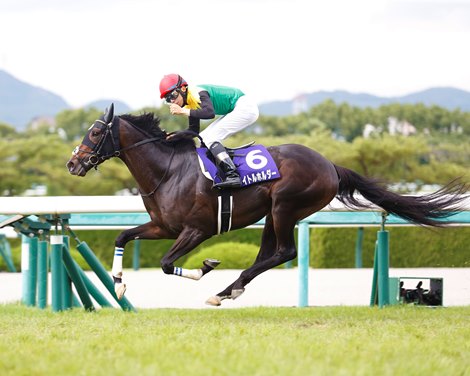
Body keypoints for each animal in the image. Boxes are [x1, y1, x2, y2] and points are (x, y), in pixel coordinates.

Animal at [65, 103, 466, 306]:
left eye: (96, 132)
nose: (72, 164)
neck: (168, 171)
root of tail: (330, 165)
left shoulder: (196, 230)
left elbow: (165, 264)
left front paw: (205, 267)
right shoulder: (164, 227)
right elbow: (121, 236)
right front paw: (118, 285)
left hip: (285, 206)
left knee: (284, 252)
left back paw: (226, 288)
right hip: (273, 213)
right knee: (268, 254)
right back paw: (229, 290)